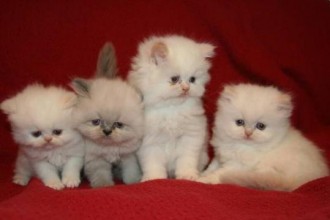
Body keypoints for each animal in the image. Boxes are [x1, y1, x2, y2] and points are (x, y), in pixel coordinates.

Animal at [71, 42, 144, 187]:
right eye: (96, 122)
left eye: (119, 124)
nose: (107, 131)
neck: (110, 147)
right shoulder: (95, 159)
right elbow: (100, 174)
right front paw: (104, 185)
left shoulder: (128, 156)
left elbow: (131, 171)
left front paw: (133, 182)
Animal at [127, 35, 215, 181]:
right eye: (174, 79)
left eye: (192, 79)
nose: (186, 88)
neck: (171, 109)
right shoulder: (149, 143)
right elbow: (153, 164)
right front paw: (154, 178)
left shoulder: (191, 137)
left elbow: (186, 160)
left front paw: (187, 175)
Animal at [197, 84, 328, 191]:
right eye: (240, 122)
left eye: (260, 126)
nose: (248, 133)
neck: (241, 146)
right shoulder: (219, 157)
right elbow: (211, 167)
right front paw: (202, 174)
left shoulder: (237, 166)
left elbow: (218, 174)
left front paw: (203, 180)